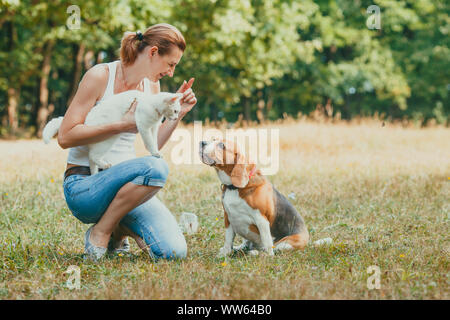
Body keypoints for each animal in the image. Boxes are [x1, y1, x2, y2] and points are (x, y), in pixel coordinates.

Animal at [42, 90, 183, 174]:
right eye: (176, 111)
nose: (176, 118)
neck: (153, 105)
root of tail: (86, 122)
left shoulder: (153, 128)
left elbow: (154, 141)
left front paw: (156, 151)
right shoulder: (143, 126)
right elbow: (149, 142)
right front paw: (155, 153)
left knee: (91, 159)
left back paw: (95, 173)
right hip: (109, 138)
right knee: (93, 155)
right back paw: (105, 165)